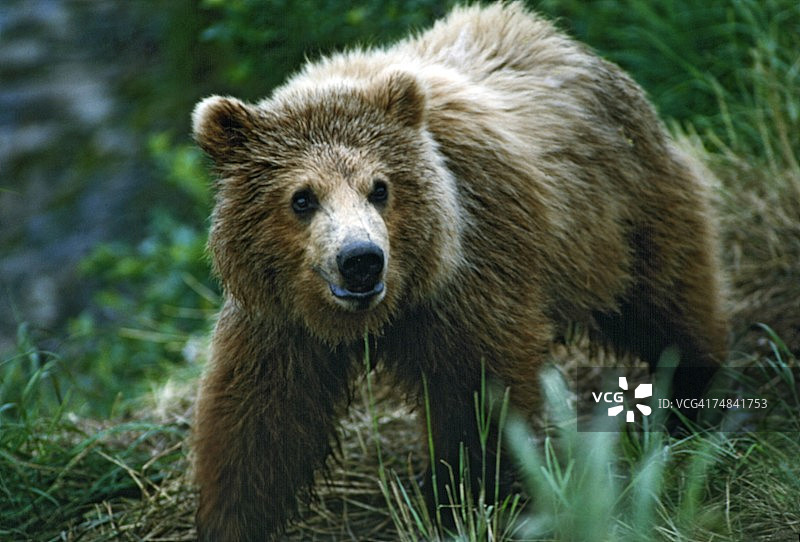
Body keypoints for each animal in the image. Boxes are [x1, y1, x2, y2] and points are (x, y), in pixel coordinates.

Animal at [191, 3, 728, 540]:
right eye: (302, 197)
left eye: (379, 188)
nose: (361, 259)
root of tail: (557, 38)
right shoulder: (279, 323)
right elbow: (258, 421)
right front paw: (231, 516)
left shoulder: (470, 274)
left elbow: (478, 397)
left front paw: (465, 495)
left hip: (624, 210)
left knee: (667, 299)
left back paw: (692, 397)